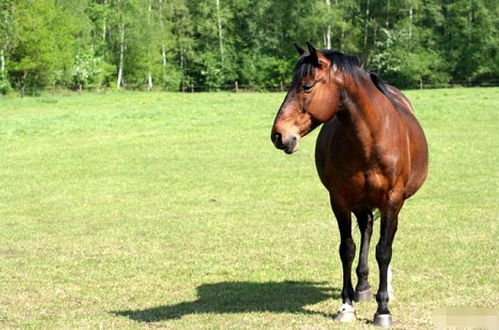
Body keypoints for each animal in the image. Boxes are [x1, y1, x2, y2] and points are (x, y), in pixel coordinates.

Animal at [270, 42, 430, 326]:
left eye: (307, 86)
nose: (278, 135)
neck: (370, 141)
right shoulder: (340, 200)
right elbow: (347, 248)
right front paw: (346, 306)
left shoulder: (392, 200)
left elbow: (384, 250)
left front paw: (383, 309)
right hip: (360, 202)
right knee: (366, 229)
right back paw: (363, 286)